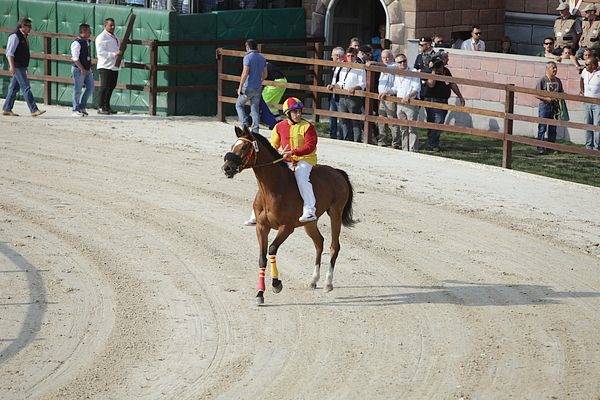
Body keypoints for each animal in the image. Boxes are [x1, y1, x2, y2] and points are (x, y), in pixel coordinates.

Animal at [224, 126, 356, 304]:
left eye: (244, 147)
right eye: (233, 146)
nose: (227, 168)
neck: (273, 188)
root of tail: (336, 172)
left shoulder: (286, 227)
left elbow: (272, 249)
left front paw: (276, 284)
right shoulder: (261, 228)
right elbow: (262, 258)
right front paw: (260, 293)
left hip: (335, 213)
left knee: (334, 246)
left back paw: (328, 283)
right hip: (310, 223)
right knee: (319, 243)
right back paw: (313, 280)